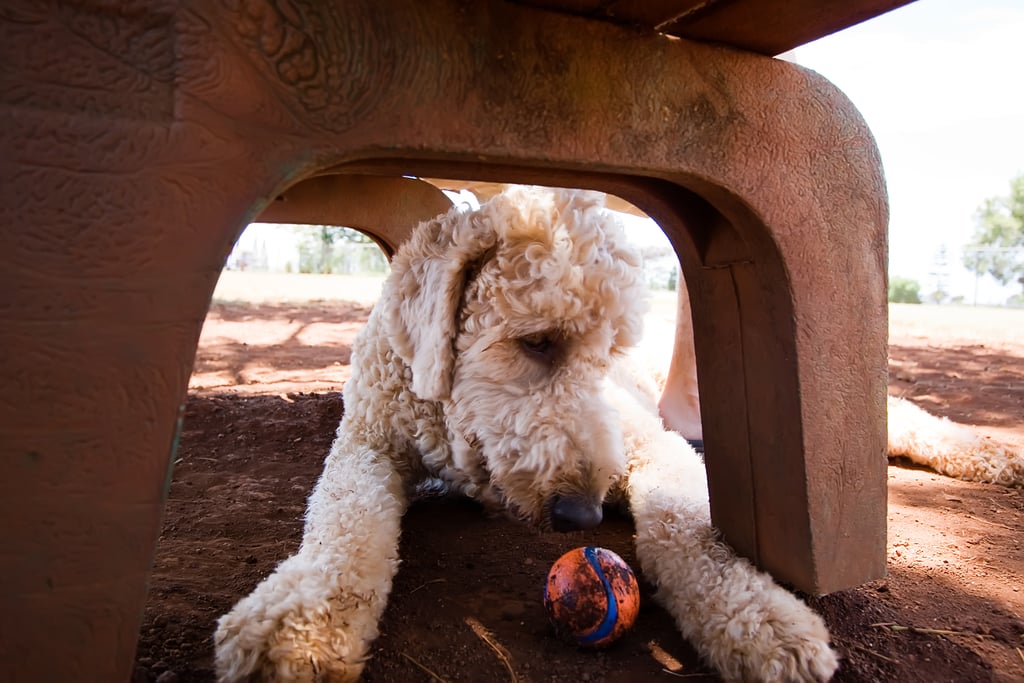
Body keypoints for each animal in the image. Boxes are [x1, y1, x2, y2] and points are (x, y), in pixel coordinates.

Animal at [211, 185, 1019, 683]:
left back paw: (996, 455)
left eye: (607, 350)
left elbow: (689, 527)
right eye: (538, 342)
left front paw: (762, 619)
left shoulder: (646, 443)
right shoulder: (367, 442)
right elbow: (343, 523)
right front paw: (301, 624)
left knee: (909, 418)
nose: (582, 514)